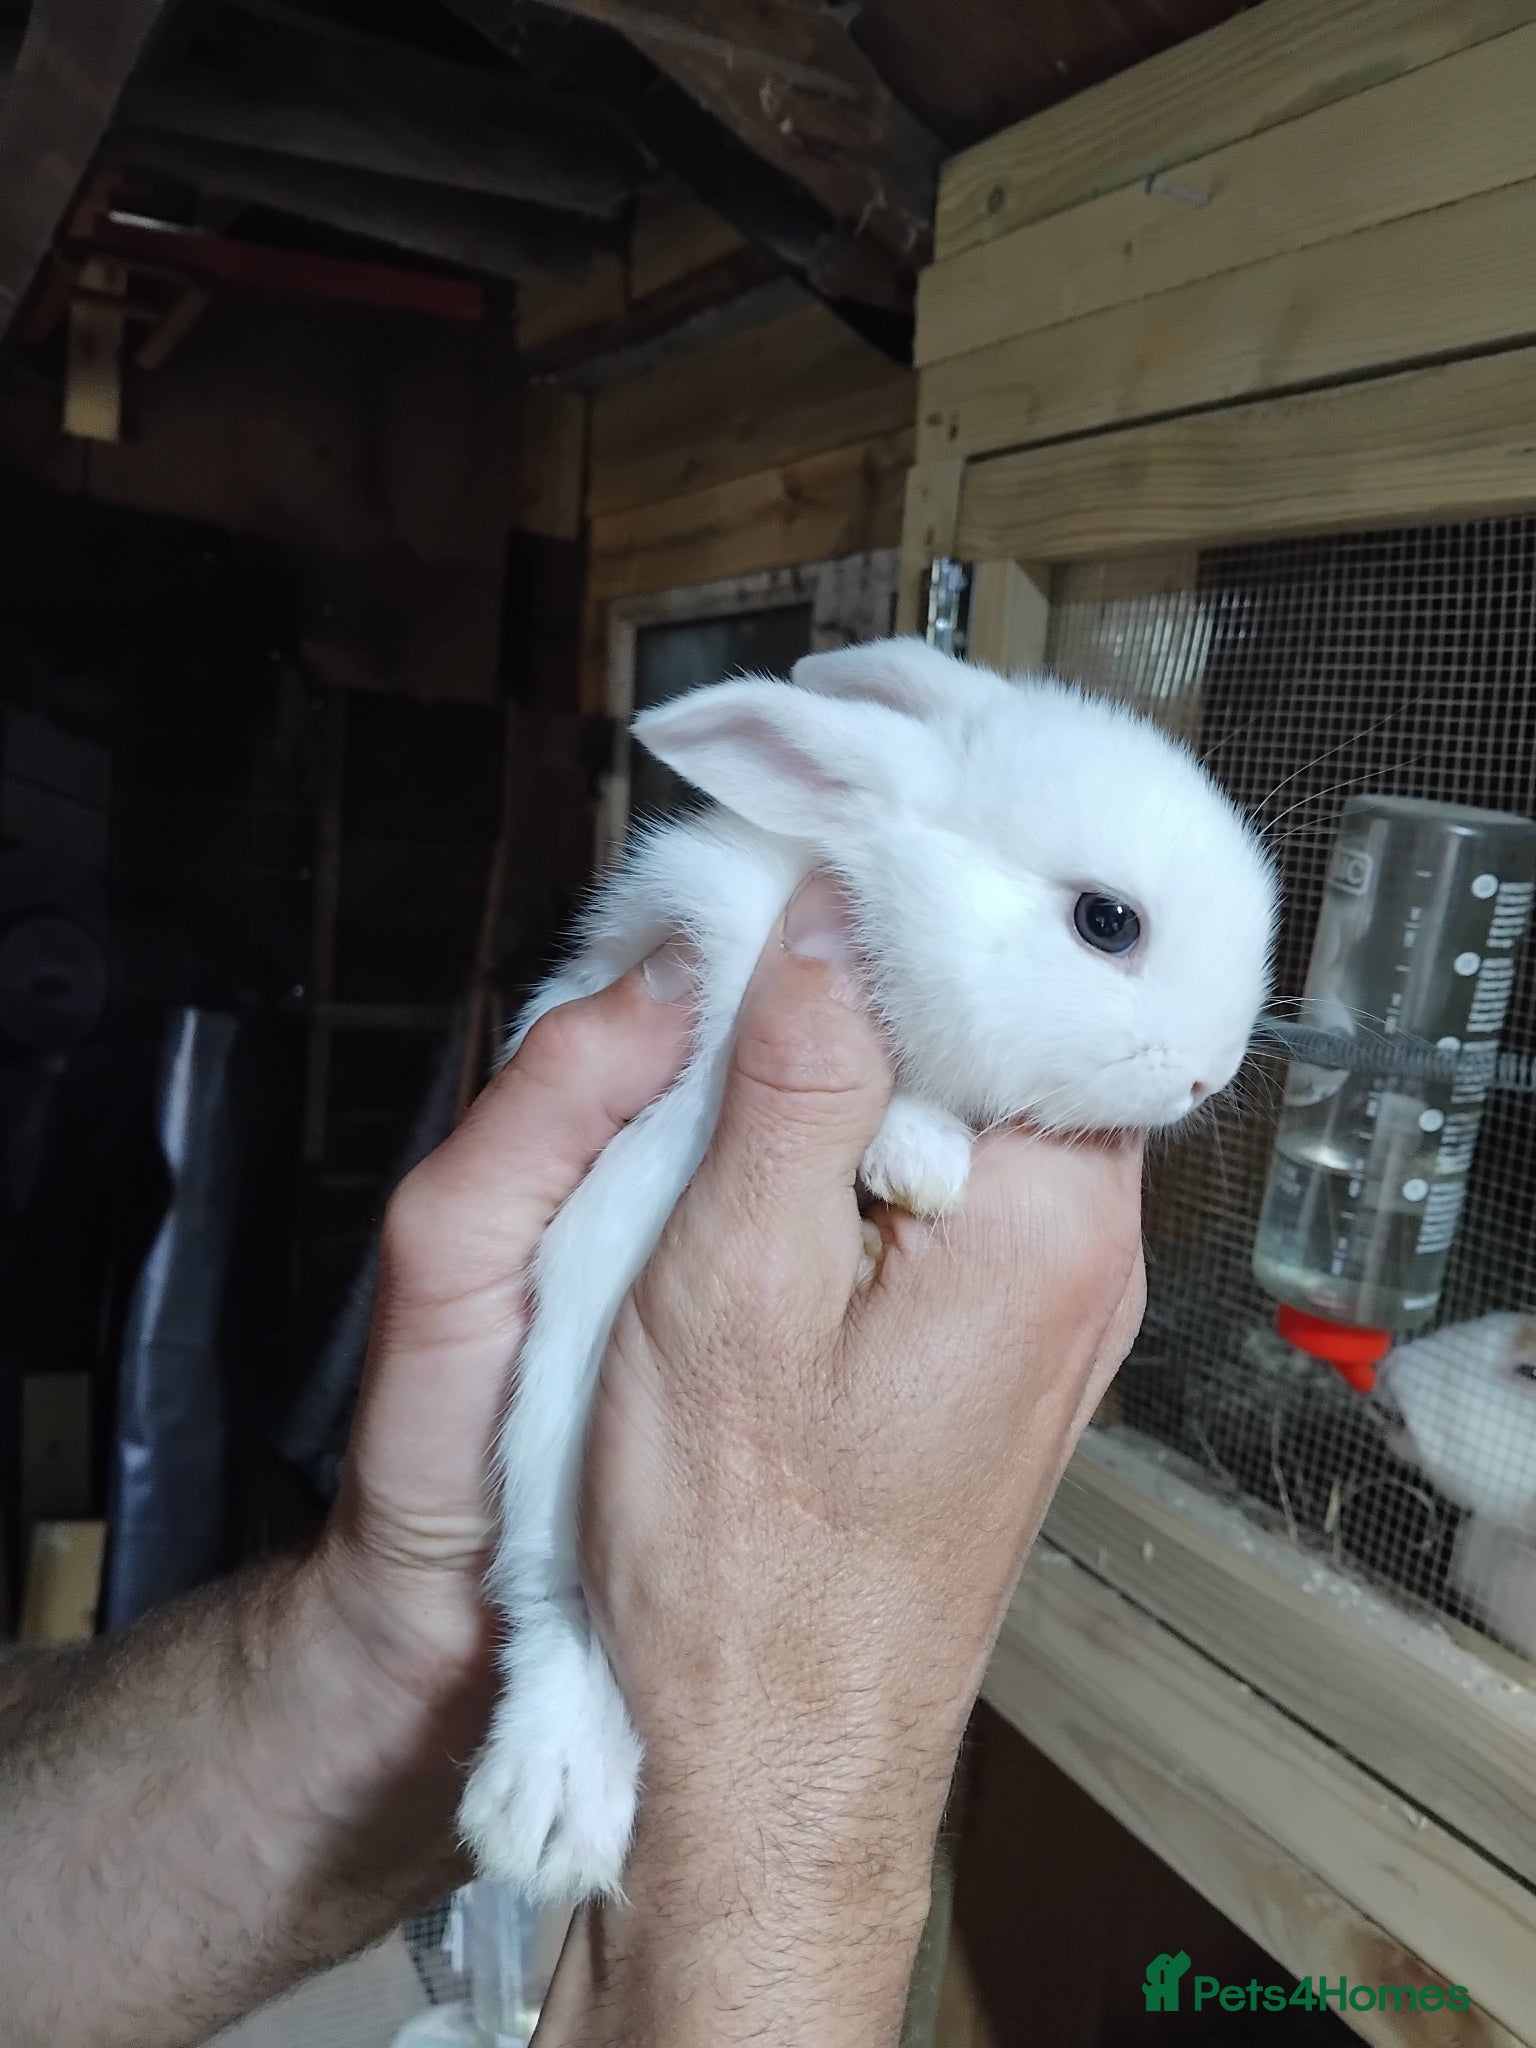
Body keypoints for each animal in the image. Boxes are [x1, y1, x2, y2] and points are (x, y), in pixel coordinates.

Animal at [457, 636, 1279, 1902]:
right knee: (553, 1612)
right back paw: (540, 1817)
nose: (1209, 1073)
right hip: (552, 1427)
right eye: (1107, 921)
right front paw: (922, 1155)